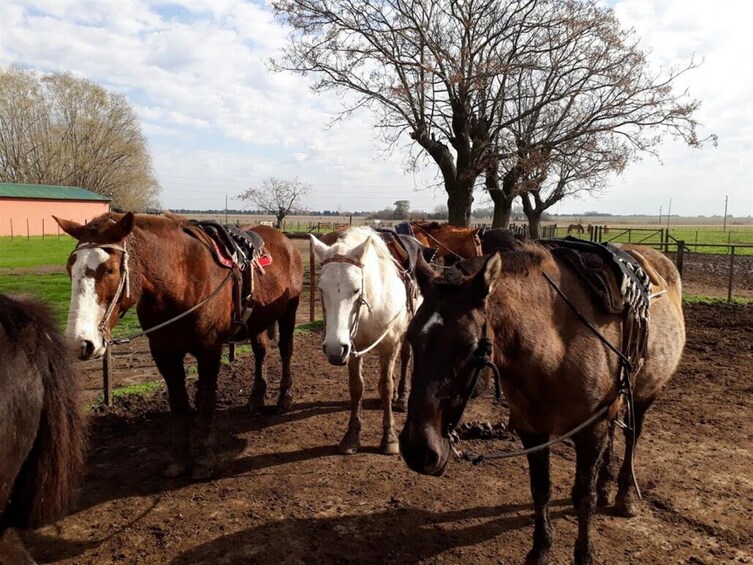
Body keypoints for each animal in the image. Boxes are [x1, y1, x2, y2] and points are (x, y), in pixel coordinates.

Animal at [55, 214, 302, 478]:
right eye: (70, 268)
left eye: (110, 269)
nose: (80, 343)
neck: (182, 282)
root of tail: (286, 241)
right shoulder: (164, 353)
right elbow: (178, 403)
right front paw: (179, 460)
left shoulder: (209, 350)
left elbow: (205, 400)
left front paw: (204, 461)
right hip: (256, 323)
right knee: (261, 352)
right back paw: (256, 397)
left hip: (289, 311)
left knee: (286, 350)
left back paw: (284, 398)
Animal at [312, 226, 418, 454]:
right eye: (321, 289)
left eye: (356, 290)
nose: (333, 349)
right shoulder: (352, 347)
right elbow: (356, 387)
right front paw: (351, 437)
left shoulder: (390, 345)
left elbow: (385, 385)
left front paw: (389, 438)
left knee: (406, 357)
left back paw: (402, 398)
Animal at [400, 243, 688, 564]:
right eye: (410, 336)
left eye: (470, 347)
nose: (417, 450)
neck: (555, 346)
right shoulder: (532, 430)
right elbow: (540, 489)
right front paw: (539, 550)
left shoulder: (590, 430)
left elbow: (583, 497)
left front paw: (584, 554)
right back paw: (605, 486)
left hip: (643, 396)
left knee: (631, 438)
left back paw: (624, 496)